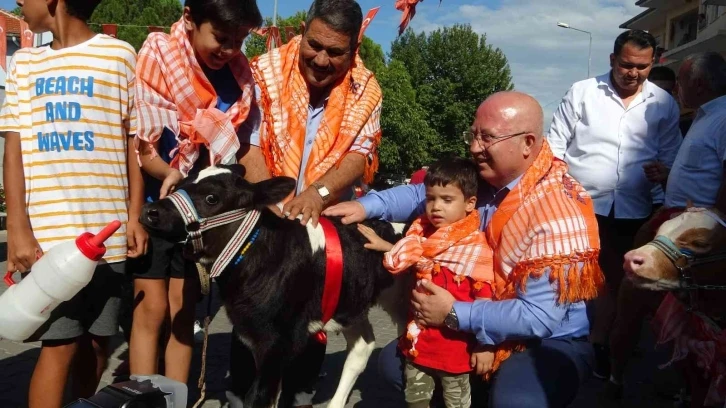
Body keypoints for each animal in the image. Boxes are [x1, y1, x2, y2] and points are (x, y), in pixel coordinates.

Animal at [137, 166, 410, 408]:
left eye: (211, 198)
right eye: (179, 185)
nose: (149, 211)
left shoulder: (278, 342)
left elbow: (258, 398)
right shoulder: (251, 332)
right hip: (350, 305)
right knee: (362, 345)